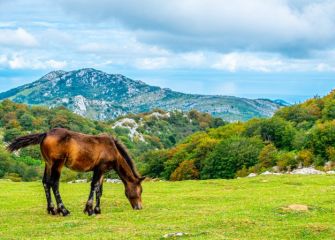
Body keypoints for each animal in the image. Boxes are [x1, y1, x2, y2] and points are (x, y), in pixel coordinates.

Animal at [6, 128, 146, 217]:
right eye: (140, 191)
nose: (139, 207)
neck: (113, 149)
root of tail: (45, 134)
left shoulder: (102, 171)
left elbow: (99, 190)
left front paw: (97, 209)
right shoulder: (99, 168)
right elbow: (94, 186)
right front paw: (89, 210)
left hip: (48, 164)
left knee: (45, 182)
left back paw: (52, 209)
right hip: (58, 164)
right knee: (54, 183)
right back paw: (63, 210)